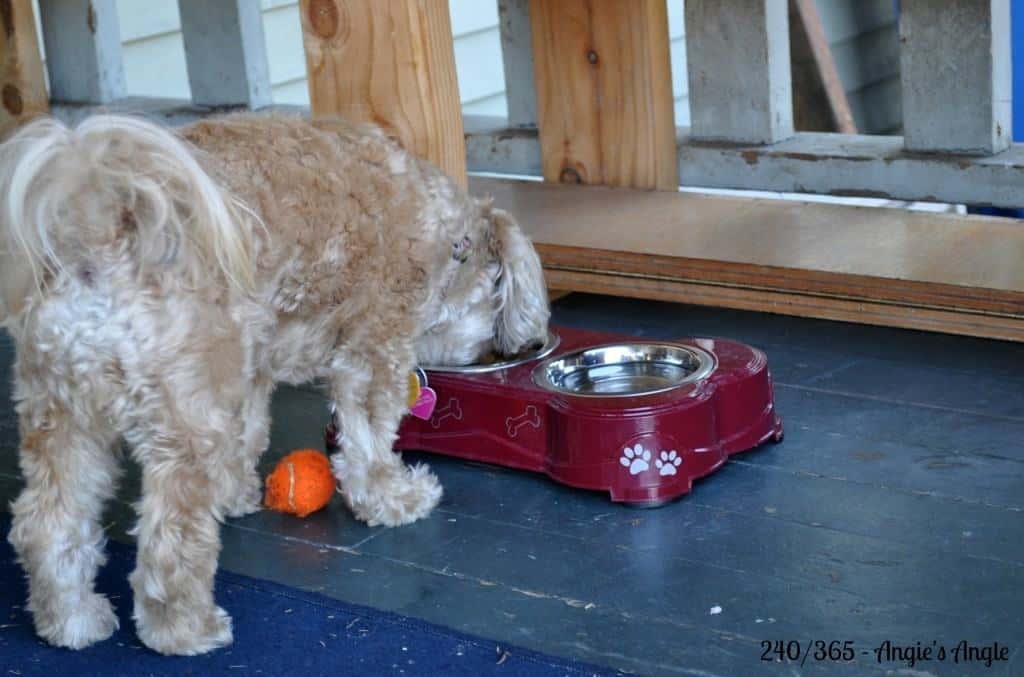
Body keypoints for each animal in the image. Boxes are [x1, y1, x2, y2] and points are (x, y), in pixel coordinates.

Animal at [0, 114, 552, 655]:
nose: (509, 351)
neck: (447, 238)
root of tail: (101, 236)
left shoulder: (249, 366)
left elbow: (250, 432)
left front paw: (235, 495)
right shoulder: (372, 350)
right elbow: (369, 440)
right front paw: (394, 498)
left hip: (63, 414)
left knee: (46, 524)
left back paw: (70, 622)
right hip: (184, 423)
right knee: (169, 541)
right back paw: (185, 630)